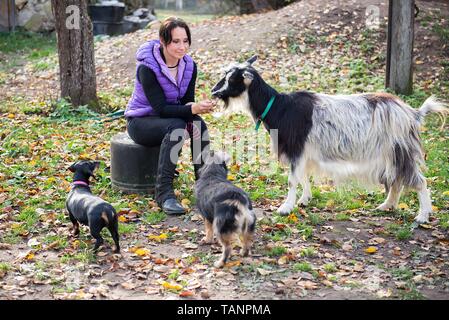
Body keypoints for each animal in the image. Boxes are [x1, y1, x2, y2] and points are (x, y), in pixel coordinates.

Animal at [211, 55, 448, 224]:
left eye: (231, 80)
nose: (214, 92)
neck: (279, 107)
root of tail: (413, 113)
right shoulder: (305, 152)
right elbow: (303, 177)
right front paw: (304, 200)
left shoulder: (296, 148)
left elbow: (292, 180)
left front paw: (285, 208)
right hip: (389, 153)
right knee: (397, 179)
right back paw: (386, 206)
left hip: (401, 149)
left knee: (419, 181)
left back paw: (422, 216)